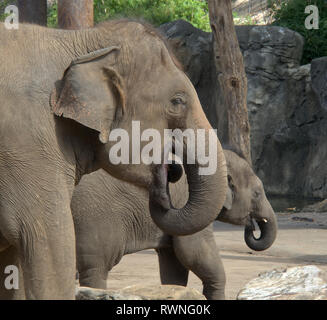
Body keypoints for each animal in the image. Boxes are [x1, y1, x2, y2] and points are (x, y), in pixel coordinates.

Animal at [73, 150, 278, 300]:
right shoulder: (189, 199)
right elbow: (194, 251)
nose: (252, 226)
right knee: (97, 268)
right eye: (257, 193)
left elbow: (174, 262)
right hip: (94, 218)